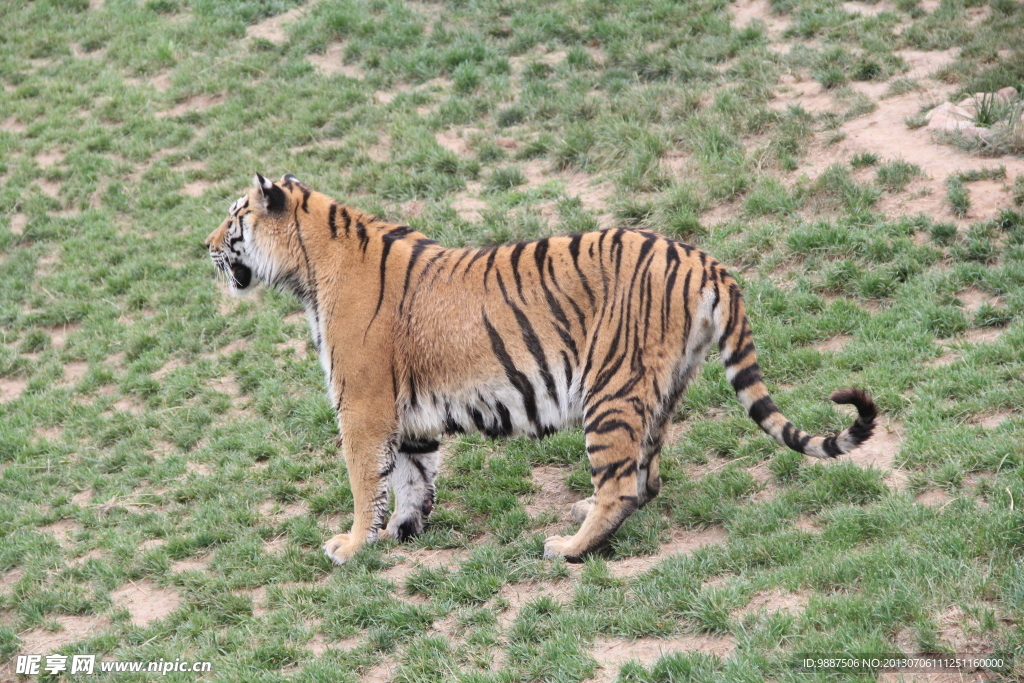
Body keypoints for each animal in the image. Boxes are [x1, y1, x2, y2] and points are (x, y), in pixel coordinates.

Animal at [203, 172, 876, 565]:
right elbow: (413, 475)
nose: (203, 246)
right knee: (648, 476)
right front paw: (404, 530)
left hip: (608, 388)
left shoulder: (363, 406)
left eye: (234, 217)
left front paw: (349, 545)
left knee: (621, 485)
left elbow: (367, 480)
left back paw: (568, 548)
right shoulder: (407, 414)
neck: (308, 268)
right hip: (661, 388)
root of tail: (700, 258)